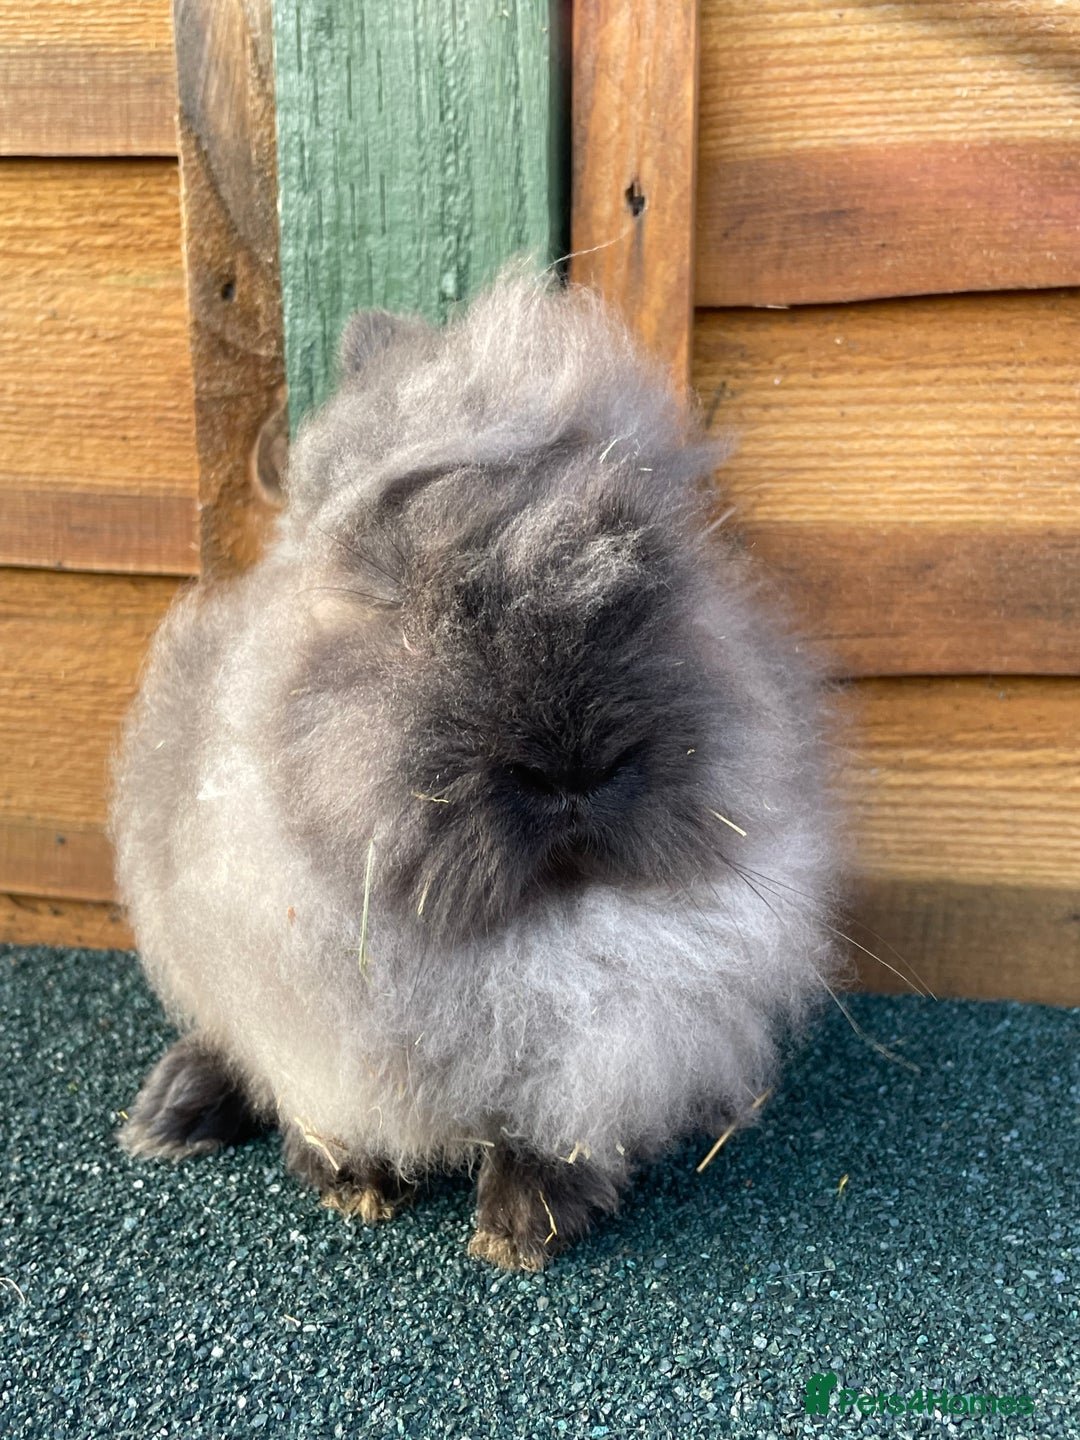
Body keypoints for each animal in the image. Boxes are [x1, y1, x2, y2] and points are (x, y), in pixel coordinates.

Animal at [111, 271, 841, 1272]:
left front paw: (522, 1224)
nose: (573, 768)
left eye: (648, 584)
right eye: (411, 603)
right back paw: (168, 1115)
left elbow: (557, 1129)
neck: (523, 942)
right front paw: (354, 1183)